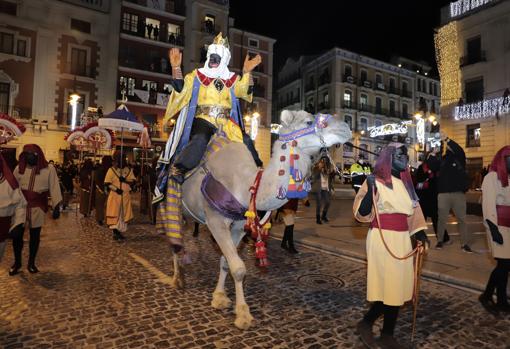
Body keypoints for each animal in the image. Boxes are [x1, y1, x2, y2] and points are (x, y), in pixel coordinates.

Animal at [167, 109, 350, 328]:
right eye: (308, 121)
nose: (346, 127)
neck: (245, 184)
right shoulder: (215, 220)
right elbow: (238, 267)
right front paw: (243, 315)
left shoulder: (238, 225)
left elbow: (227, 262)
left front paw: (220, 297)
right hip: (171, 201)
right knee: (174, 238)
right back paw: (177, 279)